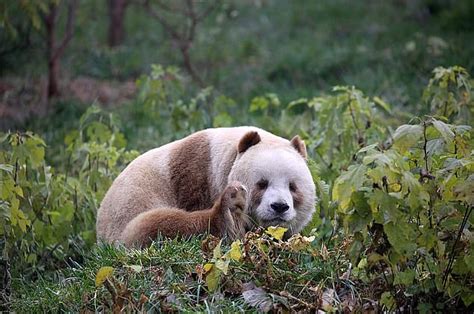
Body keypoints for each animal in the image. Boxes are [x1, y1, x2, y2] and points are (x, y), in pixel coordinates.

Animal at [97, 126, 314, 247]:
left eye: (292, 187)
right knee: (153, 226)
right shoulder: (197, 175)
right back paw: (229, 213)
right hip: (127, 216)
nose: (279, 207)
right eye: (262, 184)